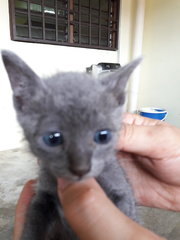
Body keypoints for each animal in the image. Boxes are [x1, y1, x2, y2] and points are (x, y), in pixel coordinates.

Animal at [1, 51, 141, 240]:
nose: (81, 168)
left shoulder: (121, 188)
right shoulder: (42, 195)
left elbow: (127, 212)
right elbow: (33, 222)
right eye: (53, 138)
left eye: (103, 136)